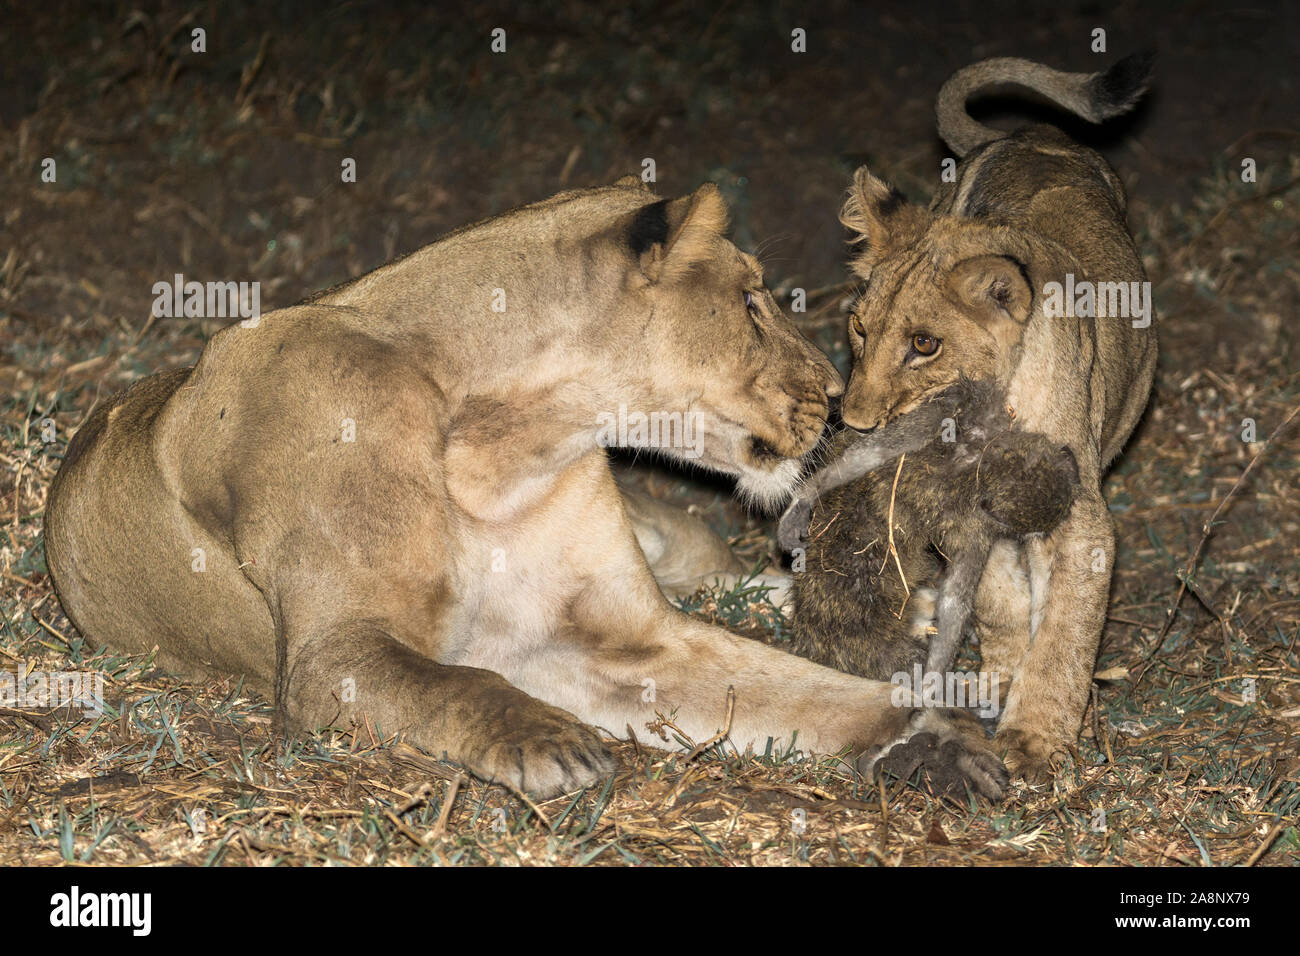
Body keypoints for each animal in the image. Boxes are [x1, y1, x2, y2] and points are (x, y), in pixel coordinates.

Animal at [44, 175, 1008, 799]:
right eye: (750, 302)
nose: (839, 399)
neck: (508, 446)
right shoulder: (335, 654)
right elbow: (461, 684)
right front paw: (547, 739)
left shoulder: (630, 639)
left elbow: (802, 689)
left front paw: (931, 739)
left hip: (662, 534)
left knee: (712, 573)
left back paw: (911, 612)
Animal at [820, 54, 1158, 781]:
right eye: (859, 329)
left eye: (925, 344)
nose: (855, 424)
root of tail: (1028, 135)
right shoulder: (969, 509)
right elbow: (1001, 601)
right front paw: (1001, 682)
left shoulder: (1081, 520)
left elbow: (1065, 632)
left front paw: (1035, 741)